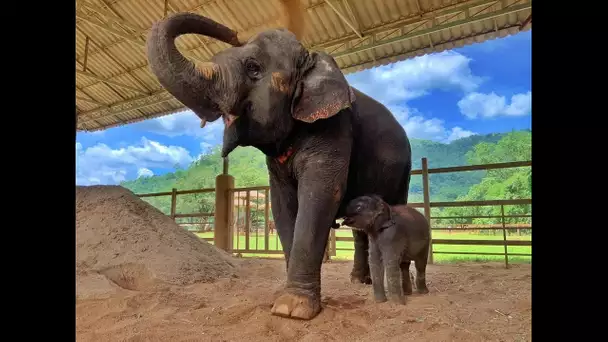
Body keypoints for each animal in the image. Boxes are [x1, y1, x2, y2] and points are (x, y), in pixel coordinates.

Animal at [147, 12, 414, 320]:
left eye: (253, 68)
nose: (233, 32)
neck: (310, 59)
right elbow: (282, 204)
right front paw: (283, 301)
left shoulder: (334, 127)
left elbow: (320, 195)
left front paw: (294, 309)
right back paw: (359, 281)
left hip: (403, 169)